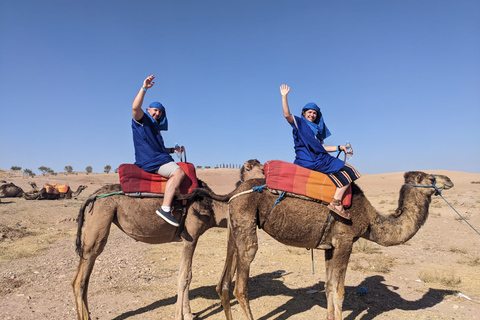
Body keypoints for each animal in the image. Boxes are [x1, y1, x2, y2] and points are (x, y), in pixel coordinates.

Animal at [73, 160, 264, 320]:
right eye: (262, 169)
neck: (212, 207)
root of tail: (92, 197)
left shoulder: (191, 239)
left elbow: (188, 275)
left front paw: (189, 314)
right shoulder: (191, 237)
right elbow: (184, 276)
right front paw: (180, 315)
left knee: (84, 278)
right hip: (99, 219)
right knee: (80, 280)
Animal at [206, 171, 454, 320]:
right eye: (429, 178)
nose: (449, 180)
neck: (370, 220)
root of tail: (234, 192)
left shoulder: (329, 246)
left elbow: (328, 287)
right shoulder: (345, 240)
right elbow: (340, 291)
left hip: (234, 227)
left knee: (223, 284)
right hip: (246, 223)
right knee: (241, 286)